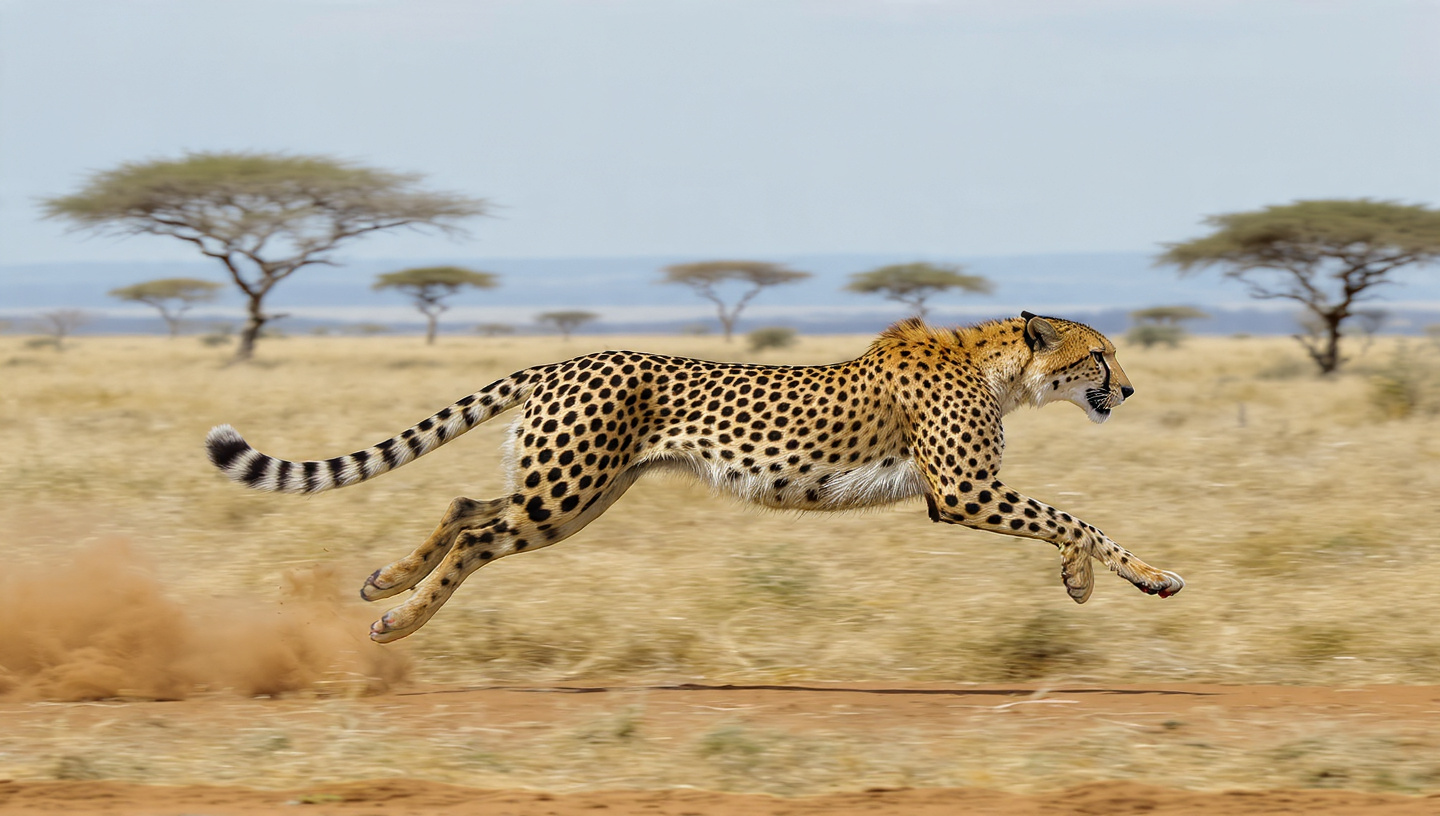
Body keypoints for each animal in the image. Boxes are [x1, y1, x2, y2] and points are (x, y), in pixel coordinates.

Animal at [206, 311, 1184, 643]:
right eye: (1099, 357)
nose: (1131, 389)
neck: (998, 366)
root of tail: (571, 356)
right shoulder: (962, 493)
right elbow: (1076, 515)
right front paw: (1141, 576)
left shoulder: (966, 494)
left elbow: (1067, 520)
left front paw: (1082, 581)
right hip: (565, 493)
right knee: (481, 530)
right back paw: (398, 621)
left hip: (575, 493)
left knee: (464, 502)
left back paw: (385, 581)